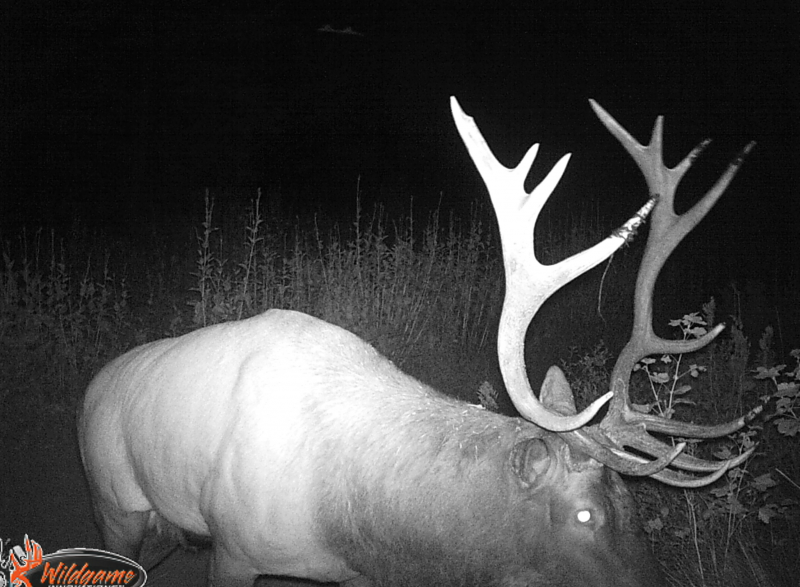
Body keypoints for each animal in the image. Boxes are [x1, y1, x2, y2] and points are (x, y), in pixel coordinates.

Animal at [78, 96, 760, 586]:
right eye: (585, 515)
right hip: (113, 501)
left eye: (635, 509)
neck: (367, 529)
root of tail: (94, 385)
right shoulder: (235, 550)